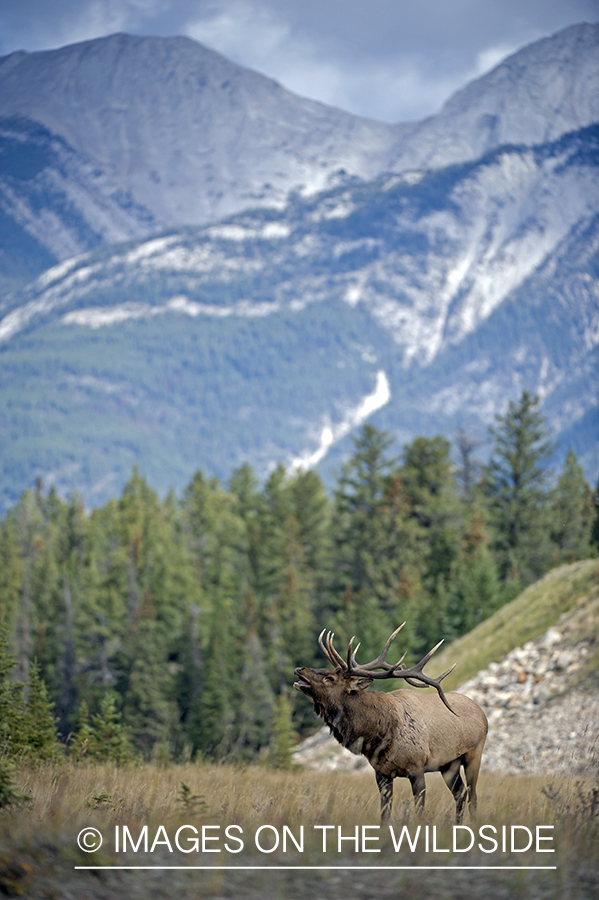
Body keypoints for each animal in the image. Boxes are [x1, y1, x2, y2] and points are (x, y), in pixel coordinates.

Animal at [294, 624, 488, 824]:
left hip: (474, 753)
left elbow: (419, 810)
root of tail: (481, 712)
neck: (378, 736)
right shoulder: (381, 773)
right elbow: (384, 813)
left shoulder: (417, 767)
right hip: (449, 764)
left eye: (329, 678)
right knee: (460, 794)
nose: (299, 668)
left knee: (472, 795)